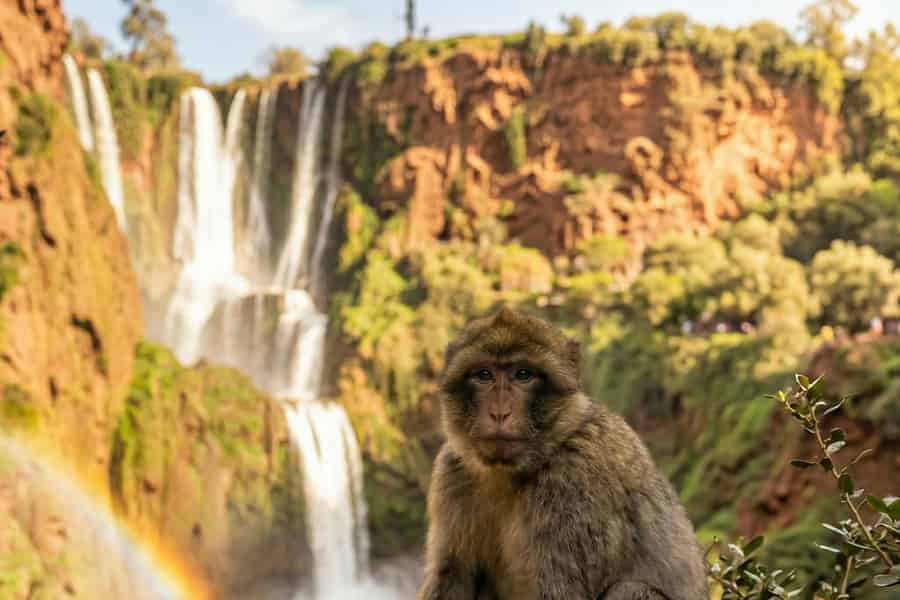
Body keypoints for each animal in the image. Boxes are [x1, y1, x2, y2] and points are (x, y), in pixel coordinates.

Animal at [418, 307, 708, 600]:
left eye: (524, 374)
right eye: (484, 374)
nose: (499, 413)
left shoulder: (573, 481)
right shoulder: (452, 472)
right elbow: (452, 577)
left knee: (631, 588)